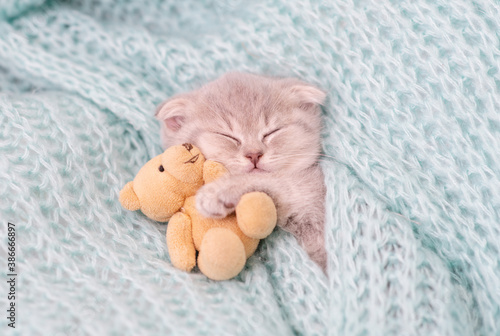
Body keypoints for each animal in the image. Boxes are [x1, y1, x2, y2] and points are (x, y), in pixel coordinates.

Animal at [156, 71, 328, 270]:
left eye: (271, 132)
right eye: (227, 136)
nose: (254, 154)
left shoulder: (313, 195)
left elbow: (274, 180)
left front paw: (219, 192)